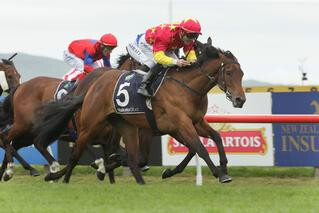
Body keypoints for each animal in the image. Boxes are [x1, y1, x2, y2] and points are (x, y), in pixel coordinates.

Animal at [34, 37, 245, 184]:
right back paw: (63, 177)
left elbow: (214, 138)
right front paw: (219, 174)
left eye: (241, 73)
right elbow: (199, 148)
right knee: (76, 151)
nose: (240, 99)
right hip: (89, 124)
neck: (186, 87)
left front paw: (223, 167)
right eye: (228, 72)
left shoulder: (193, 122)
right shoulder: (180, 123)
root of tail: (91, 85)